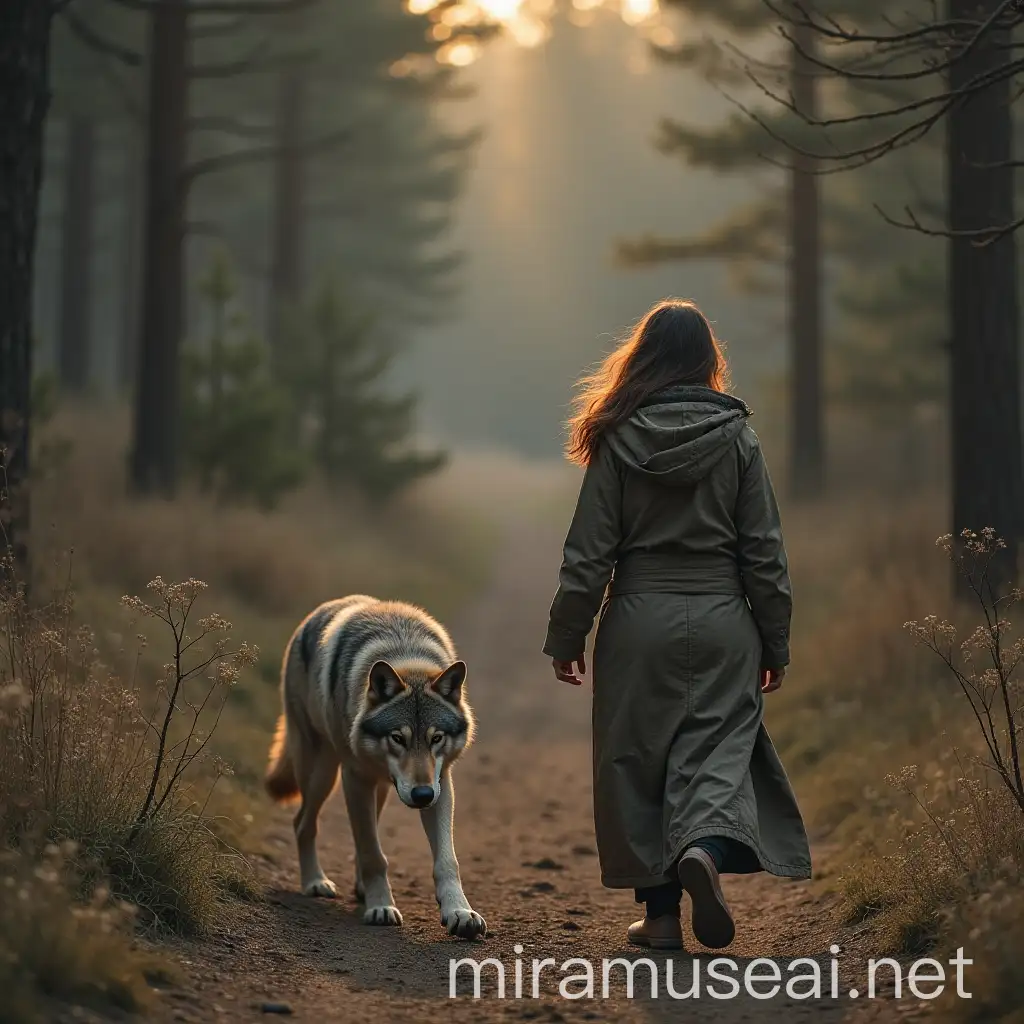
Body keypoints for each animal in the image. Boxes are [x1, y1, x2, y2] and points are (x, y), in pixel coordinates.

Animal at [266, 598, 485, 937]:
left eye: (436, 738)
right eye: (398, 737)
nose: (422, 795)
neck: (405, 652)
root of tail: (311, 618)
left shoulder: (441, 784)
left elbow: (447, 861)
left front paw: (460, 912)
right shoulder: (355, 779)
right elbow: (372, 854)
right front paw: (381, 907)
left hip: (379, 787)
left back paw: (358, 888)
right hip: (323, 775)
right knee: (303, 823)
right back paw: (315, 882)